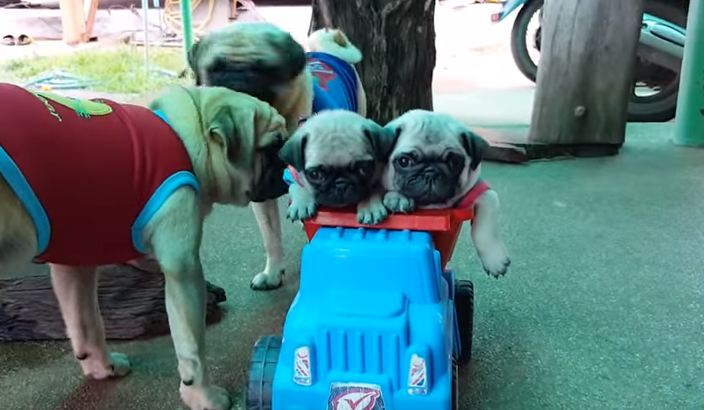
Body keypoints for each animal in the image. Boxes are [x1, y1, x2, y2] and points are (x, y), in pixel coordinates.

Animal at [0, 83, 288, 410]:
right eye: (272, 147)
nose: (288, 165)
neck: (184, 134)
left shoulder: (75, 265)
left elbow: (86, 323)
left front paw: (101, 366)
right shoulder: (183, 270)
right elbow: (192, 348)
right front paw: (202, 396)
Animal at [382, 109, 508, 278]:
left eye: (454, 162)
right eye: (404, 161)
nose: (430, 172)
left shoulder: (485, 195)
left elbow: (484, 232)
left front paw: (494, 260)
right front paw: (397, 198)